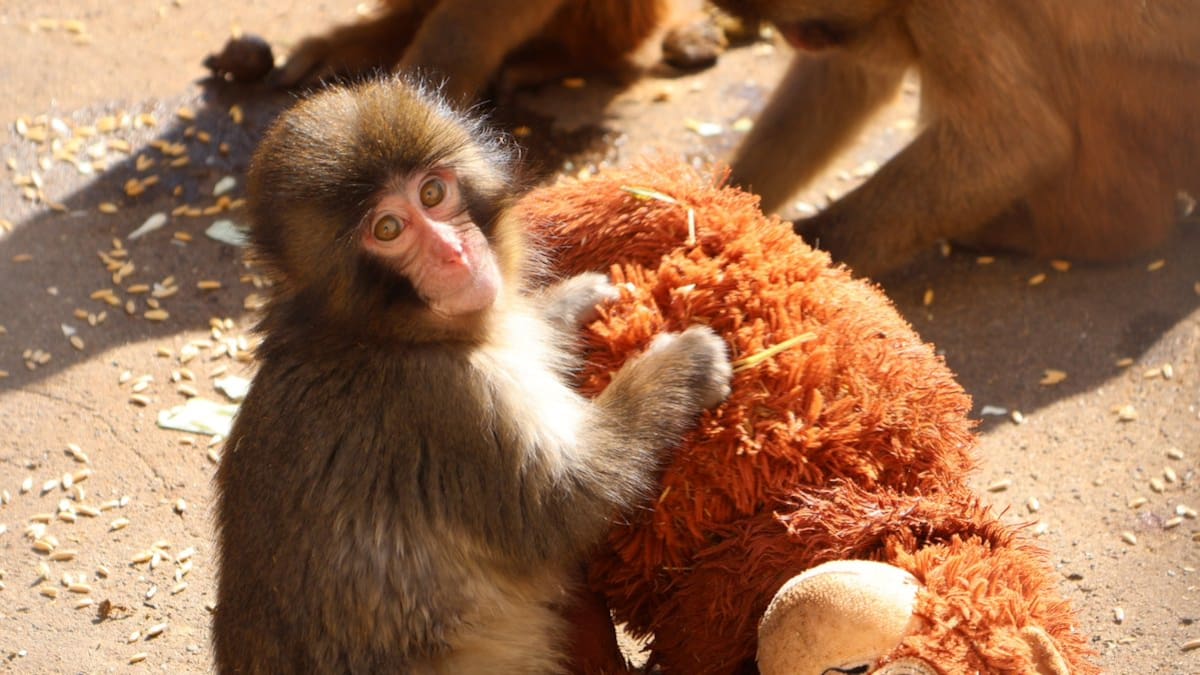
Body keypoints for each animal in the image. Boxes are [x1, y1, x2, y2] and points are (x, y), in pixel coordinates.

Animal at [211, 75, 732, 674]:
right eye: (387, 228)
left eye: (432, 195)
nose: (454, 253)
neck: (376, 334)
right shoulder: (446, 402)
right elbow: (564, 503)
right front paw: (683, 364)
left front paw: (571, 304)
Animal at [711, 0, 1200, 277]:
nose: (795, 38)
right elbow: (849, 77)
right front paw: (724, 199)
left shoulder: (951, 7)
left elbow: (1017, 143)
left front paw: (799, 256)